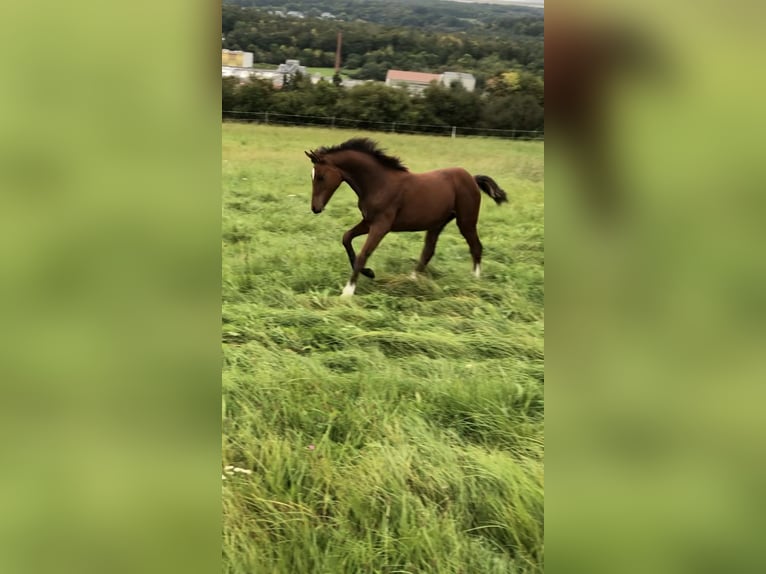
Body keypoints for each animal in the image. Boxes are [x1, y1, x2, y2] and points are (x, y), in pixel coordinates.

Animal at [306, 138, 510, 296]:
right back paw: (410, 280)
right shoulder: (368, 222)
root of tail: (472, 179)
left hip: (466, 220)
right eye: (312, 176)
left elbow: (364, 253)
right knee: (428, 251)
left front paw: (348, 292)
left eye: (321, 176)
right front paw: (369, 273)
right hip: (438, 223)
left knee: (476, 247)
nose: (316, 208)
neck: (379, 183)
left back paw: (474, 281)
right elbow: (346, 237)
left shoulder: (381, 226)